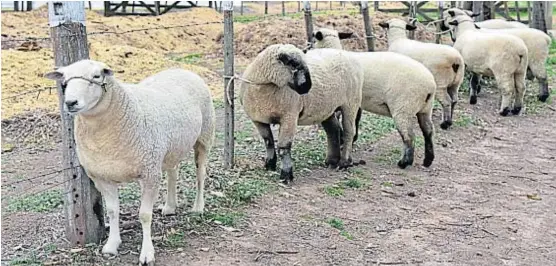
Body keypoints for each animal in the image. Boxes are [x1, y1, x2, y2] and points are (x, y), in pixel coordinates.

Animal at [239, 44, 364, 185]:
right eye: (292, 64)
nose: (307, 87)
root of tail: (349, 55)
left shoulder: (289, 117)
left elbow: (284, 148)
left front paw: (286, 175)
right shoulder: (258, 120)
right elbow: (268, 142)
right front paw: (270, 165)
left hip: (351, 103)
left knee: (349, 132)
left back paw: (344, 163)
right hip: (327, 108)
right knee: (333, 130)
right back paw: (331, 160)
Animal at [312, 28, 438, 169]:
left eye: (313, 38)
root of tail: (430, 86)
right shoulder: (356, 102)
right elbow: (356, 120)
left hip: (403, 108)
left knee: (409, 136)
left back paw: (404, 163)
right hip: (425, 109)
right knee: (428, 131)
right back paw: (428, 160)